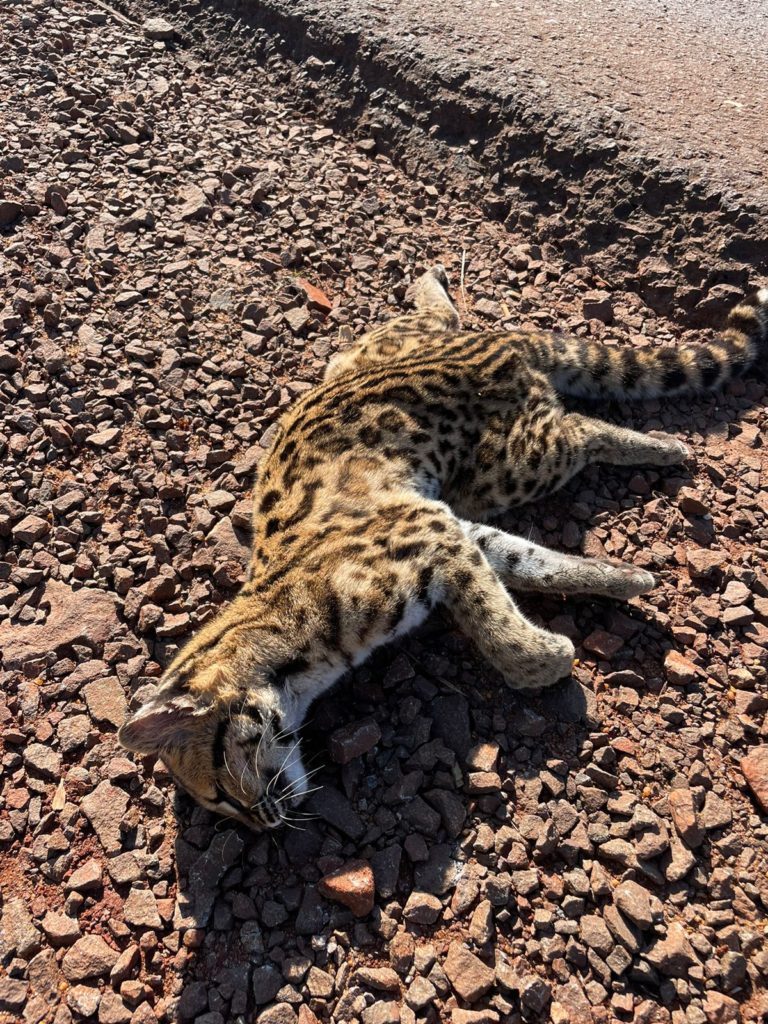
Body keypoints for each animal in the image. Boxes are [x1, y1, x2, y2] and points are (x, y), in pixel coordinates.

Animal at [117, 268, 765, 827]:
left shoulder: (432, 530)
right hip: (391, 382)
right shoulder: (450, 527)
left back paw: (662, 446)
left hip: (508, 467)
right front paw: (625, 579)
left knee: (582, 429)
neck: (283, 637)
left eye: (221, 791)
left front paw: (552, 657)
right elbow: (537, 564)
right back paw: (432, 283)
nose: (267, 827)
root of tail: (495, 343)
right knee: (445, 321)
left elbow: (504, 635)